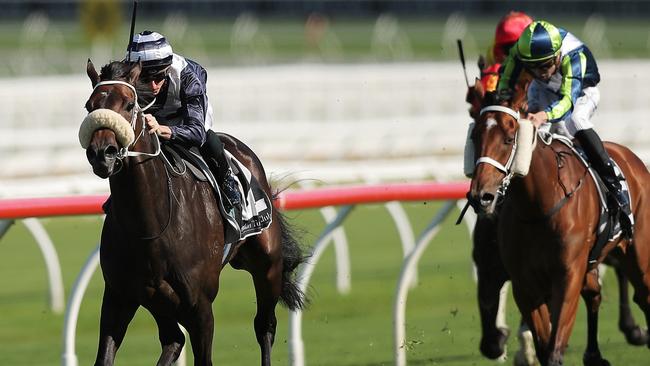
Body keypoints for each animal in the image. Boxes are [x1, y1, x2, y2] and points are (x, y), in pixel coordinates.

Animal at [81, 60, 306, 366]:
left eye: (128, 104)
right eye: (89, 106)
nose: (102, 153)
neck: (151, 227)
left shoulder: (200, 307)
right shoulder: (120, 296)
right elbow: (104, 357)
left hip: (267, 265)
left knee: (265, 326)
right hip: (159, 300)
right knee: (174, 339)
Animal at [466, 78, 648, 364]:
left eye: (509, 138)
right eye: (475, 137)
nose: (481, 196)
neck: (537, 207)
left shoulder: (567, 275)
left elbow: (554, 346)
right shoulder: (522, 283)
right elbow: (539, 344)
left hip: (637, 254)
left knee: (643, 295)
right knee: (595, 294)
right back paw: (594, 354)